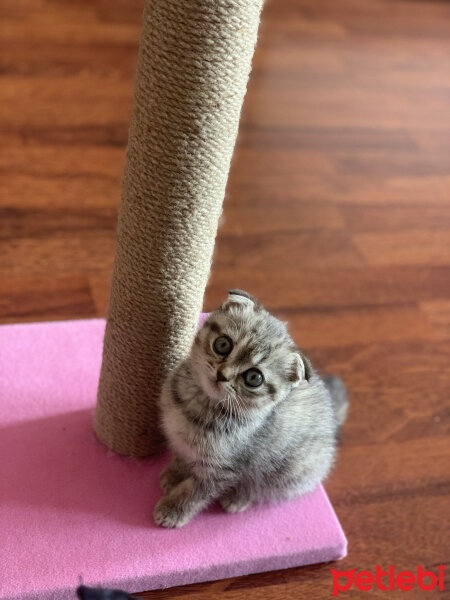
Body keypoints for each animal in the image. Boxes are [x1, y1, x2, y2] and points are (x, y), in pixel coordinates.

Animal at [154, 290, 348, 528]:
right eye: (223, 344)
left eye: (254, 378)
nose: (222, 375)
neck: (197, 404)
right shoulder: (180, 441)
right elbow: (181, 457)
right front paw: (174, 474)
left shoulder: (224, 469)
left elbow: (195, 493)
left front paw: (172, 510)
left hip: (289, 472)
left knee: (264, 489)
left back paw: (239, 498)